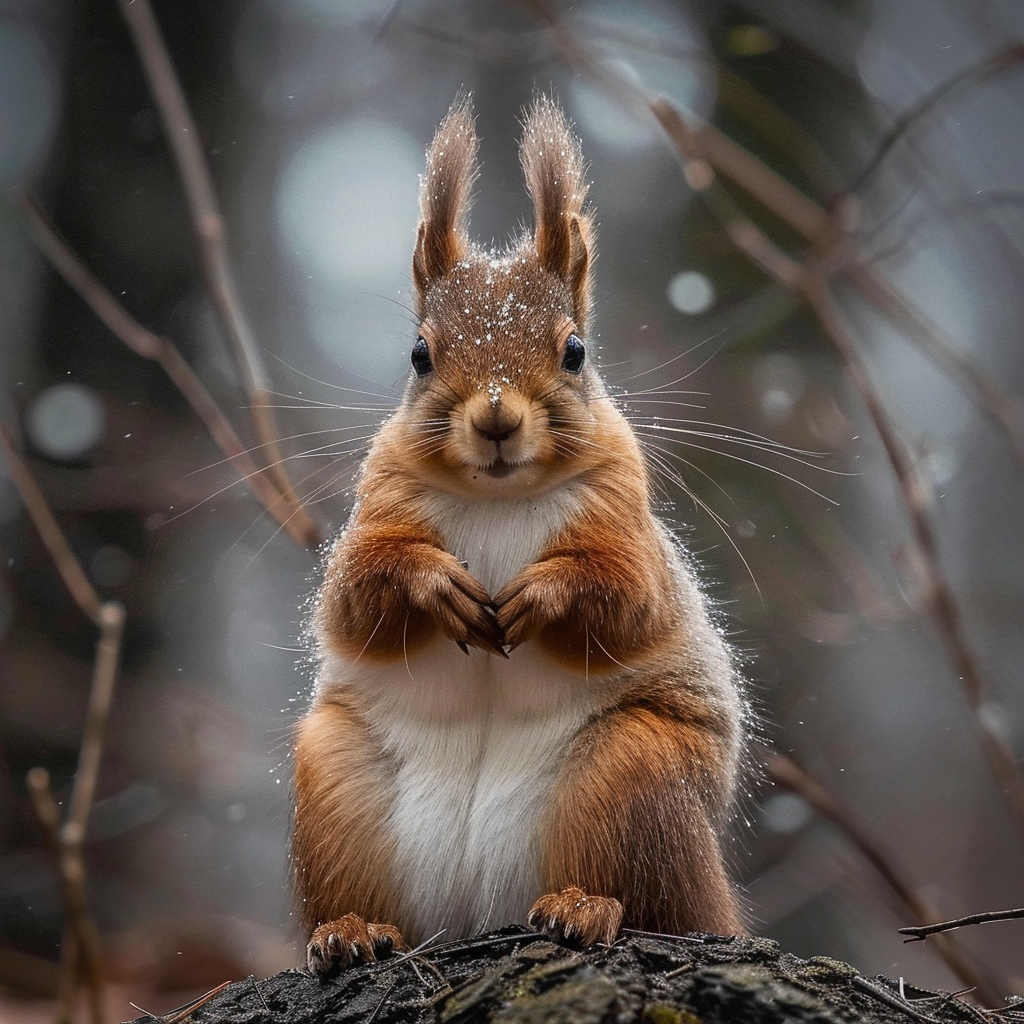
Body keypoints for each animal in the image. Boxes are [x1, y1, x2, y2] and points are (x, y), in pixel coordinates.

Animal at [292, 96, 749, 974]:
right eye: (418, 355)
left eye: (575, 350)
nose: (498, 417)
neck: (499, 498)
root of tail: (473, 912)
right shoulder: (377, 508)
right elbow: (356, 597)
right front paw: (435, 584)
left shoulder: (626, 520)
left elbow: (628, 598)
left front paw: (545, 593)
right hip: (334, 789)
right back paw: (351, 931)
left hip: (634, 778)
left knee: (648, 902)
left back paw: (584, 907)